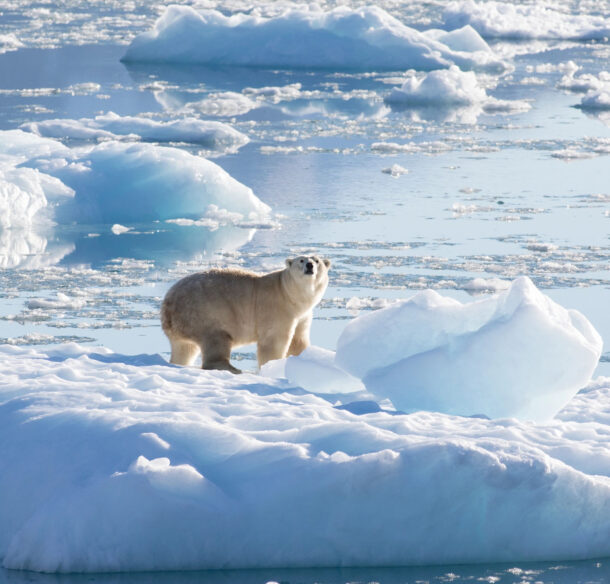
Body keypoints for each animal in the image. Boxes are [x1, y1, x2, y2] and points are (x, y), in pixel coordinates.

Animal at [158, 256, 328, 374]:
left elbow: (299, 340)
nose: (310, 265)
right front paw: (272, 366)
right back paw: (232, 368)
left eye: (317, 260)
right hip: (204, 312)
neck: (288, 293)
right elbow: (273, 341)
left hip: (184, 324)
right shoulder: (276, 308)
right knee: (216, 339)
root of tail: (167, 305)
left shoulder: (303, 315)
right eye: (301, 259)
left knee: (184, 348)